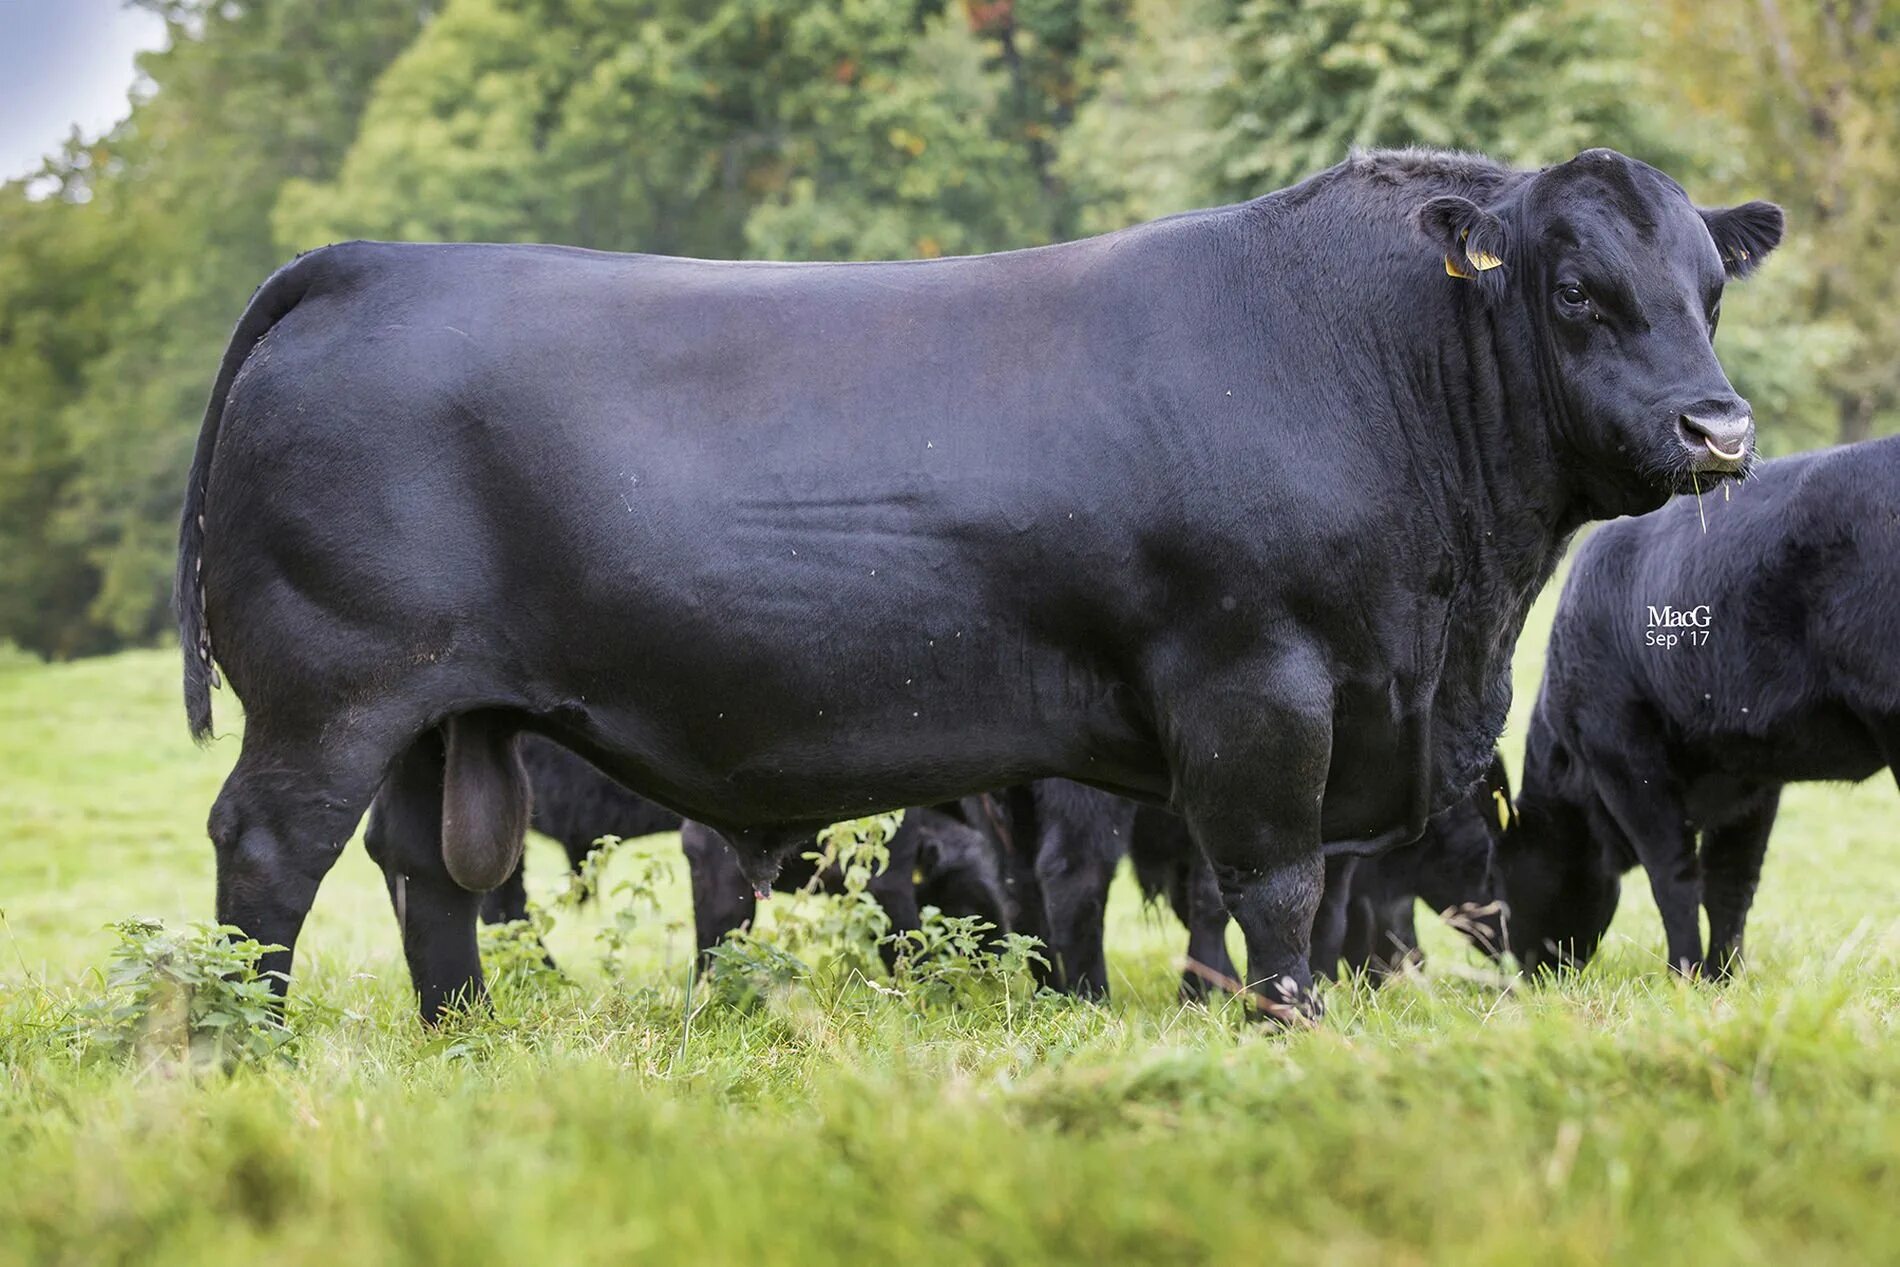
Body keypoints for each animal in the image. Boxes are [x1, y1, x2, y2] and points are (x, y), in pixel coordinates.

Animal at [174, 146, 1778, 1018]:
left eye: (1709, 286)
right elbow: (1274, 884)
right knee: (272, 853)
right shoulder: (1256, 685)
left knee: (427, 872)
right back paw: (252, 1044)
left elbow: (1311, 888)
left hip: (436, 716)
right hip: (327, 693)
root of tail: (370, 261)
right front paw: (1287, 1029)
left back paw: (471, 1036)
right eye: (1574, 288)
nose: (1721, 430)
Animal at [1512, 431, 1900, 980]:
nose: (1523, 970)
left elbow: (1673, 876)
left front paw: (1685, 974)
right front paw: (1722, 976)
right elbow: (1731, 883)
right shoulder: (1752, 777)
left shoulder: (1624, 759)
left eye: (1508, 875)